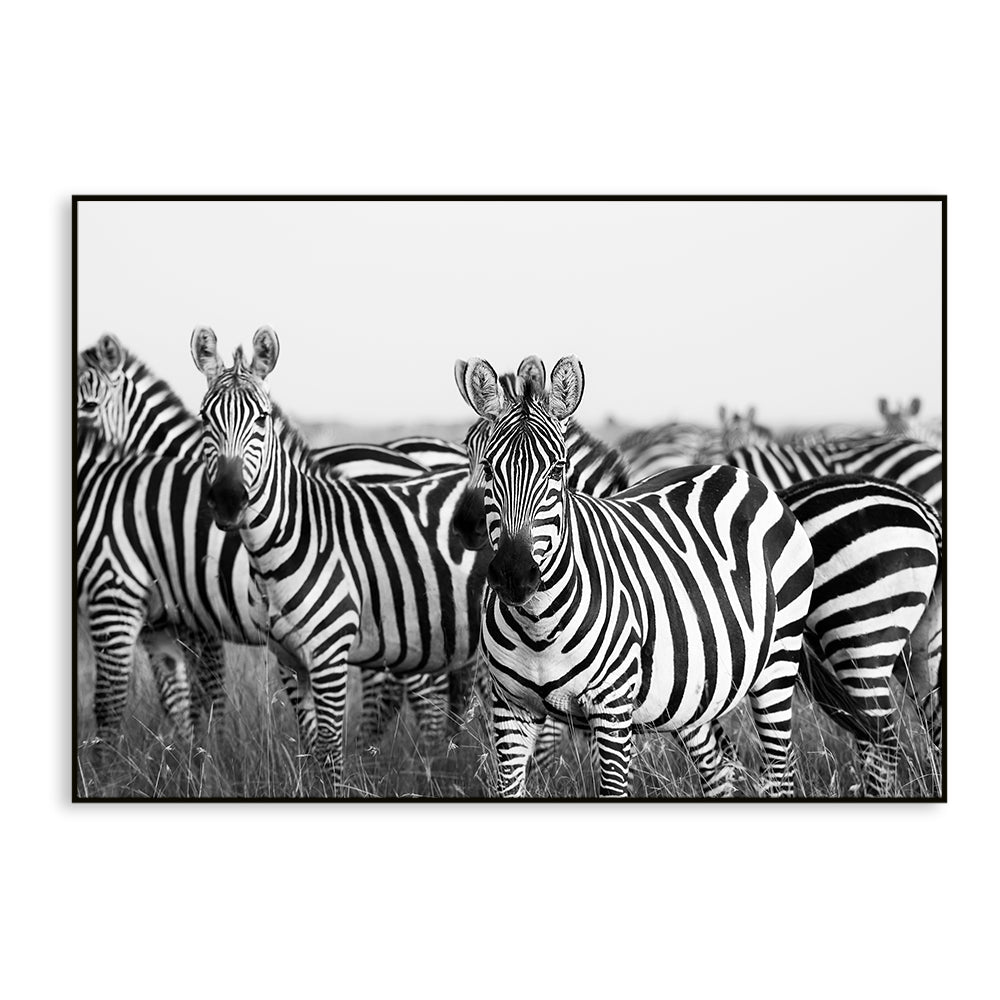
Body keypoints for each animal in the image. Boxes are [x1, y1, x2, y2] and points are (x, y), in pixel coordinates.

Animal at [190, 325, 493, 782]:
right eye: (205, 419)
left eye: (262, 419)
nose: (227, 500)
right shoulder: (287, 661)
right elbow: (311, 745)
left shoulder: (329, 656)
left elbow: (331, 751)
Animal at [456, 354, 814, 798]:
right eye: (485, 464)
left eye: (558, 470)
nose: (514, 575)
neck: (537, 620)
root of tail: (734, 472)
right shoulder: (510, 707)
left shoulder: (610, 709)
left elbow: (608, 785)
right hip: (696, 690)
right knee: (719, 769)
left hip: (777, 662)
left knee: (779, 770)